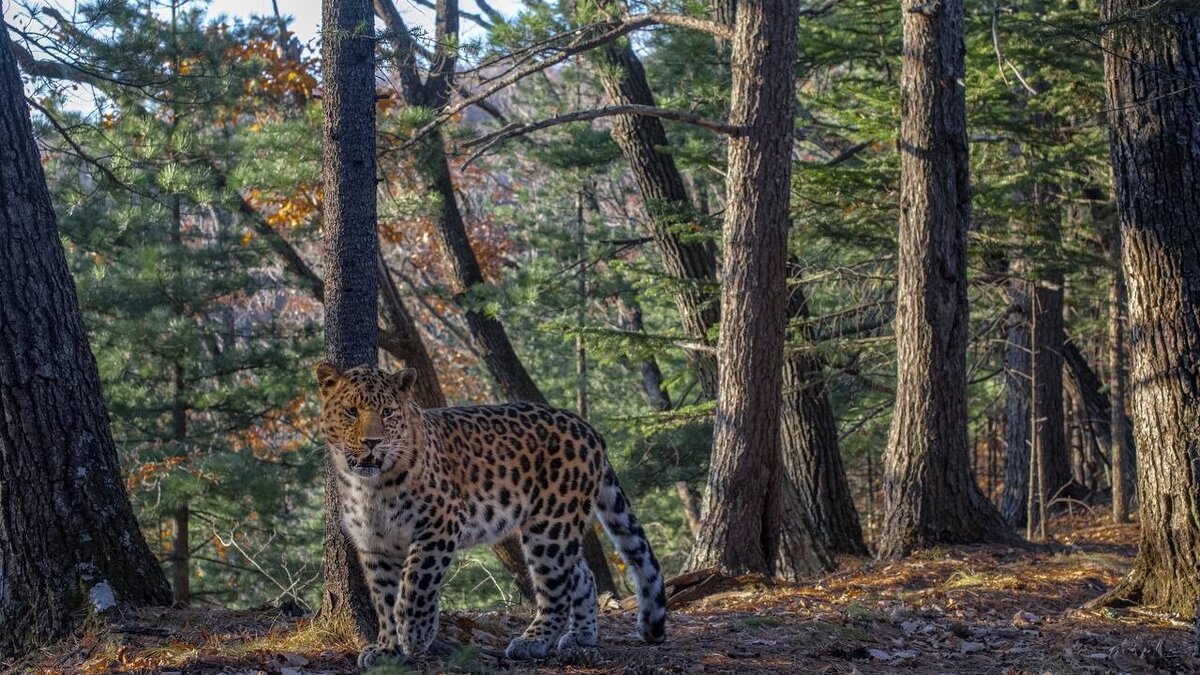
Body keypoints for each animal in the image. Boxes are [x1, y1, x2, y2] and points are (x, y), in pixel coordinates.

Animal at [314, 360, 672, 662]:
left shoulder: (440, 524)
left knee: (556, 586)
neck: (368, 487)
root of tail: (589, 428)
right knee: (581, 574)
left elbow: (416, 582)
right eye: (350, 411)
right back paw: (581, 635)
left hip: (549, 526)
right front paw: (388, 648)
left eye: (388, 412)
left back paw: (533, 641)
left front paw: (415, 634)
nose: (372, 442)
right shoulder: (375, 544)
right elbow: (384, 598)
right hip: (558, 525)